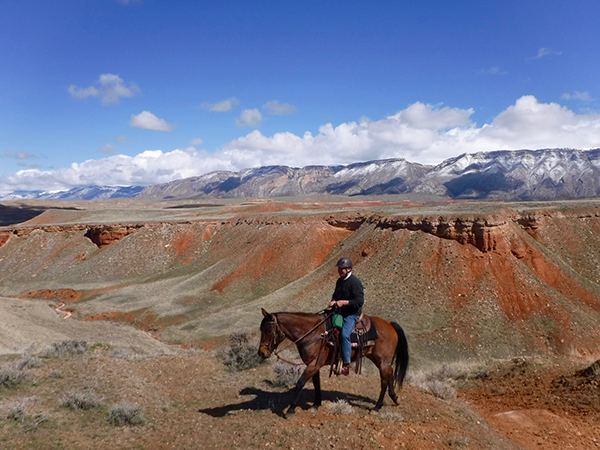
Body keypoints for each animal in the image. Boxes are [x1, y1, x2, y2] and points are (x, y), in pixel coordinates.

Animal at [258, 308, 408, 416]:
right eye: (261, 329)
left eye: (269, 330)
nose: (261, 353)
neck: (312, 333)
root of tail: (390, 325)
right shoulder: (313, 365)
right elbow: (316, 383)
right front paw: (316, 405)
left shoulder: (313, 365)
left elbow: (300, 383)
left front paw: (290, 409)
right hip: (376, 358)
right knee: (390, 372)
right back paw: (395, 398)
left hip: (382, 360)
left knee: (384, 380)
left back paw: (377, 407)